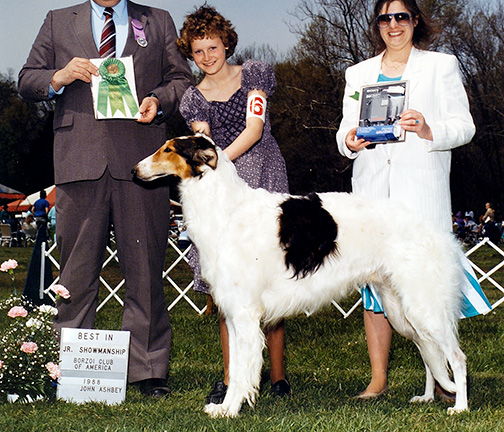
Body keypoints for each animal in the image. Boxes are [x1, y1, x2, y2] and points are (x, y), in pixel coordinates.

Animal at [134, 135, 468, 418]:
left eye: (168, 149)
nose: (135, 170)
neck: (226, 210)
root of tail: (439, 231)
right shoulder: (232, 313)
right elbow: (236, 366)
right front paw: (225, 407)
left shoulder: (244, 313)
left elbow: (241, 371)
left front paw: (230, 410)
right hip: (403, 311)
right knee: (430, 354)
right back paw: (427, 397)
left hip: (423, 306)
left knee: (457, 358)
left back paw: (460, 407)